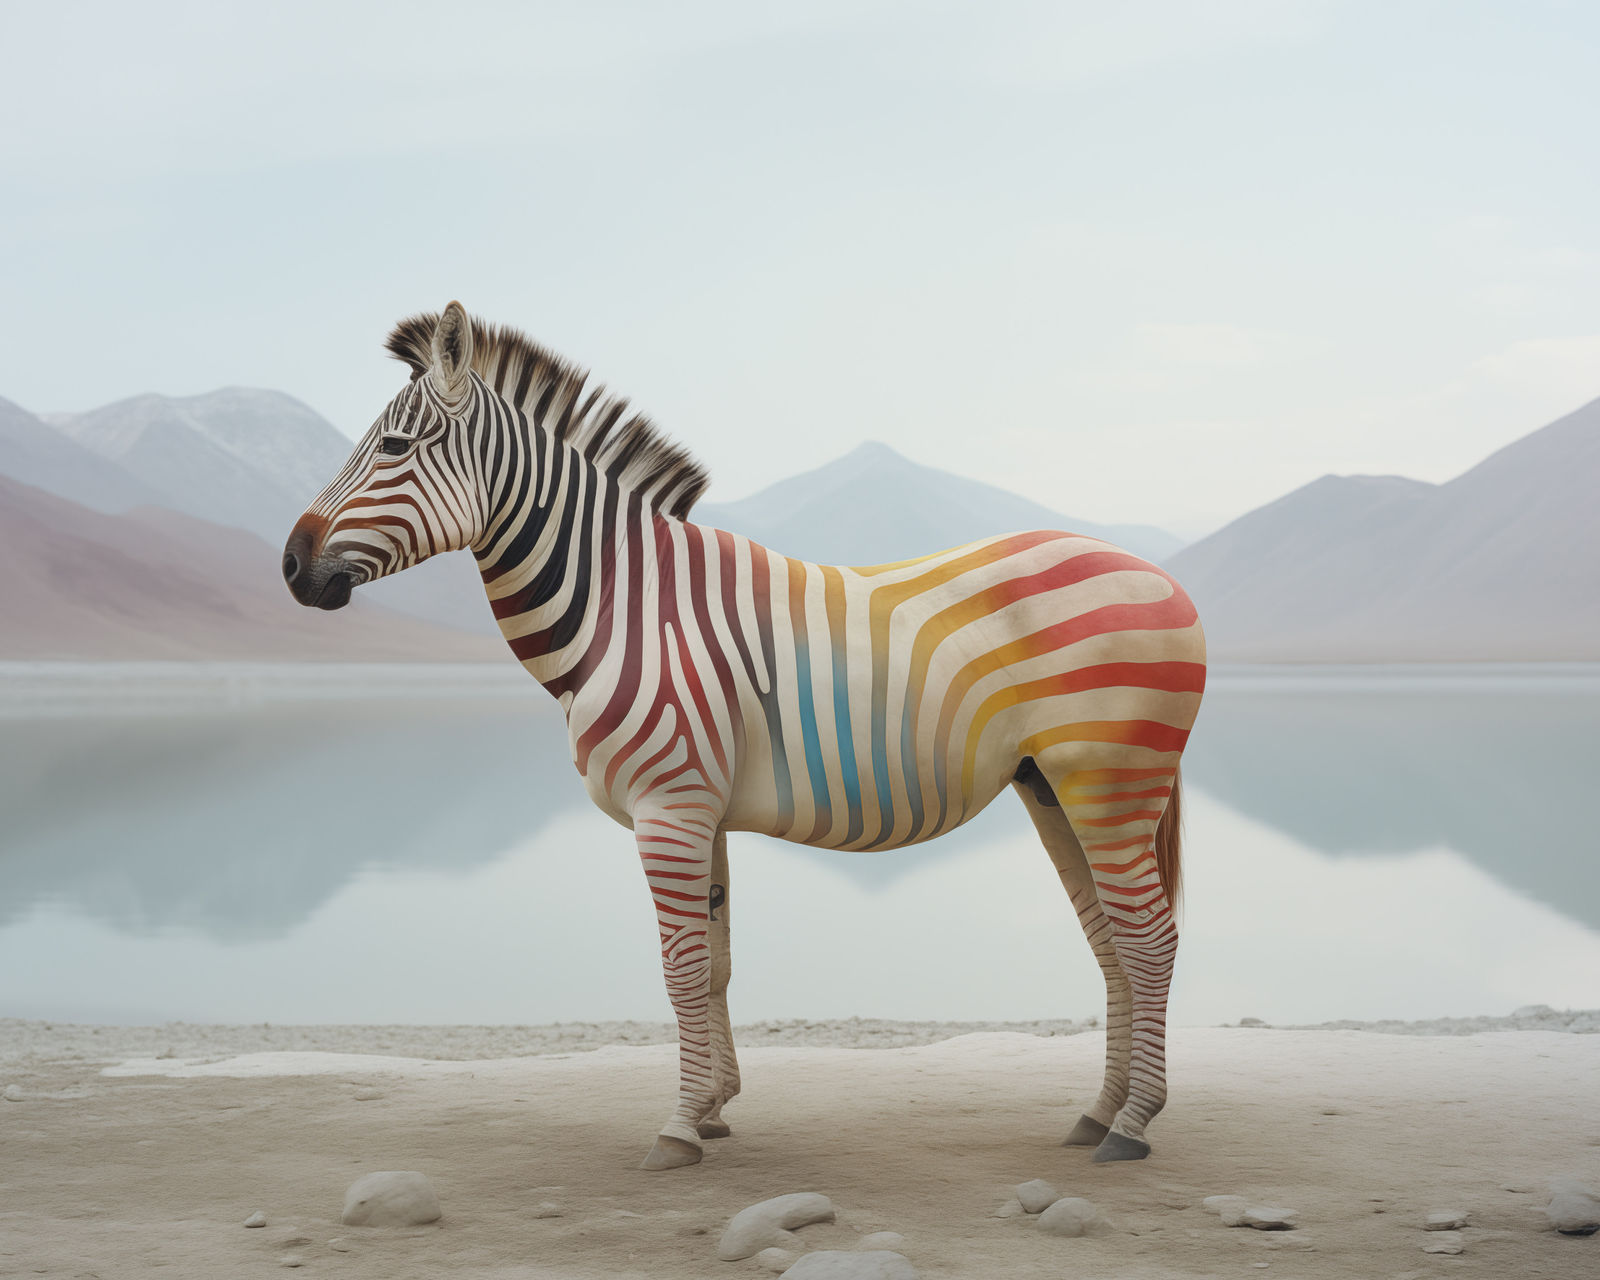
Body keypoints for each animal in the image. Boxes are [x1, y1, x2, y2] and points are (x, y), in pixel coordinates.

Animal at [283, 302, 1205, 1170]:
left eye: (394, 445)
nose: (290, 566)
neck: (627, 608)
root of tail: (1159, 575)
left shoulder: (668, 809)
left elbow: (681, 967)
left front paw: (678, 1127)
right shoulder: (702, 811)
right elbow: (717, 962)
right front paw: (715, 1108)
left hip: (1110, 782)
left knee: (1150, 940)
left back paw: (1132, 1125)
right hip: (1052, 786)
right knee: (1111, 942)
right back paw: (1096, 1114)